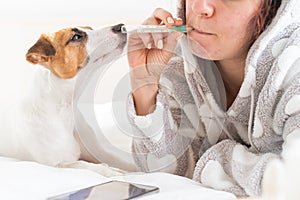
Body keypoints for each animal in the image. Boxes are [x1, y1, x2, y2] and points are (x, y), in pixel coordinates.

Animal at [0, 23, 127, 177]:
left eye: (90, 29)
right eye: (76, 37)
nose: (121, 26)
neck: (65, 111)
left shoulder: (99, 152)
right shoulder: (58, 164)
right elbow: (83, 164)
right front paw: (108, 170)